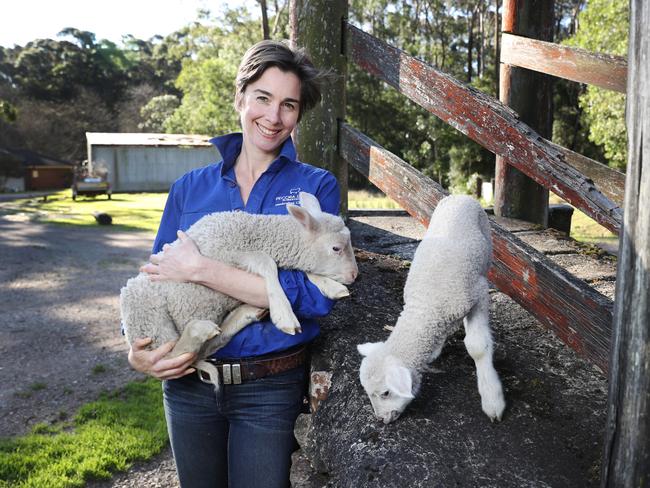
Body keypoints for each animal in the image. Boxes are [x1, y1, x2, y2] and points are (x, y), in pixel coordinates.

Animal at [119, 193, 356, 384]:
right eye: (336, 248)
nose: (354, 275)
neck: (256, 235)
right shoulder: (225, 254)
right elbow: (267, 262)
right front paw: (285, 316)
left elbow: (300, 271)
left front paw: (332, 287)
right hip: (145, 311)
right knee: (173, 354)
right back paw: (200, 329)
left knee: (208, 347)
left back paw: (246, 313)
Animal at [356, 194, 504, 424]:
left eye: (386, 393)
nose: (381, 420)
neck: (426, 306)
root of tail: (459, 196)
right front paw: (434, 349)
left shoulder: (479, 293)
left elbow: (478, 347)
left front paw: (492, 399)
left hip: (486, 247)